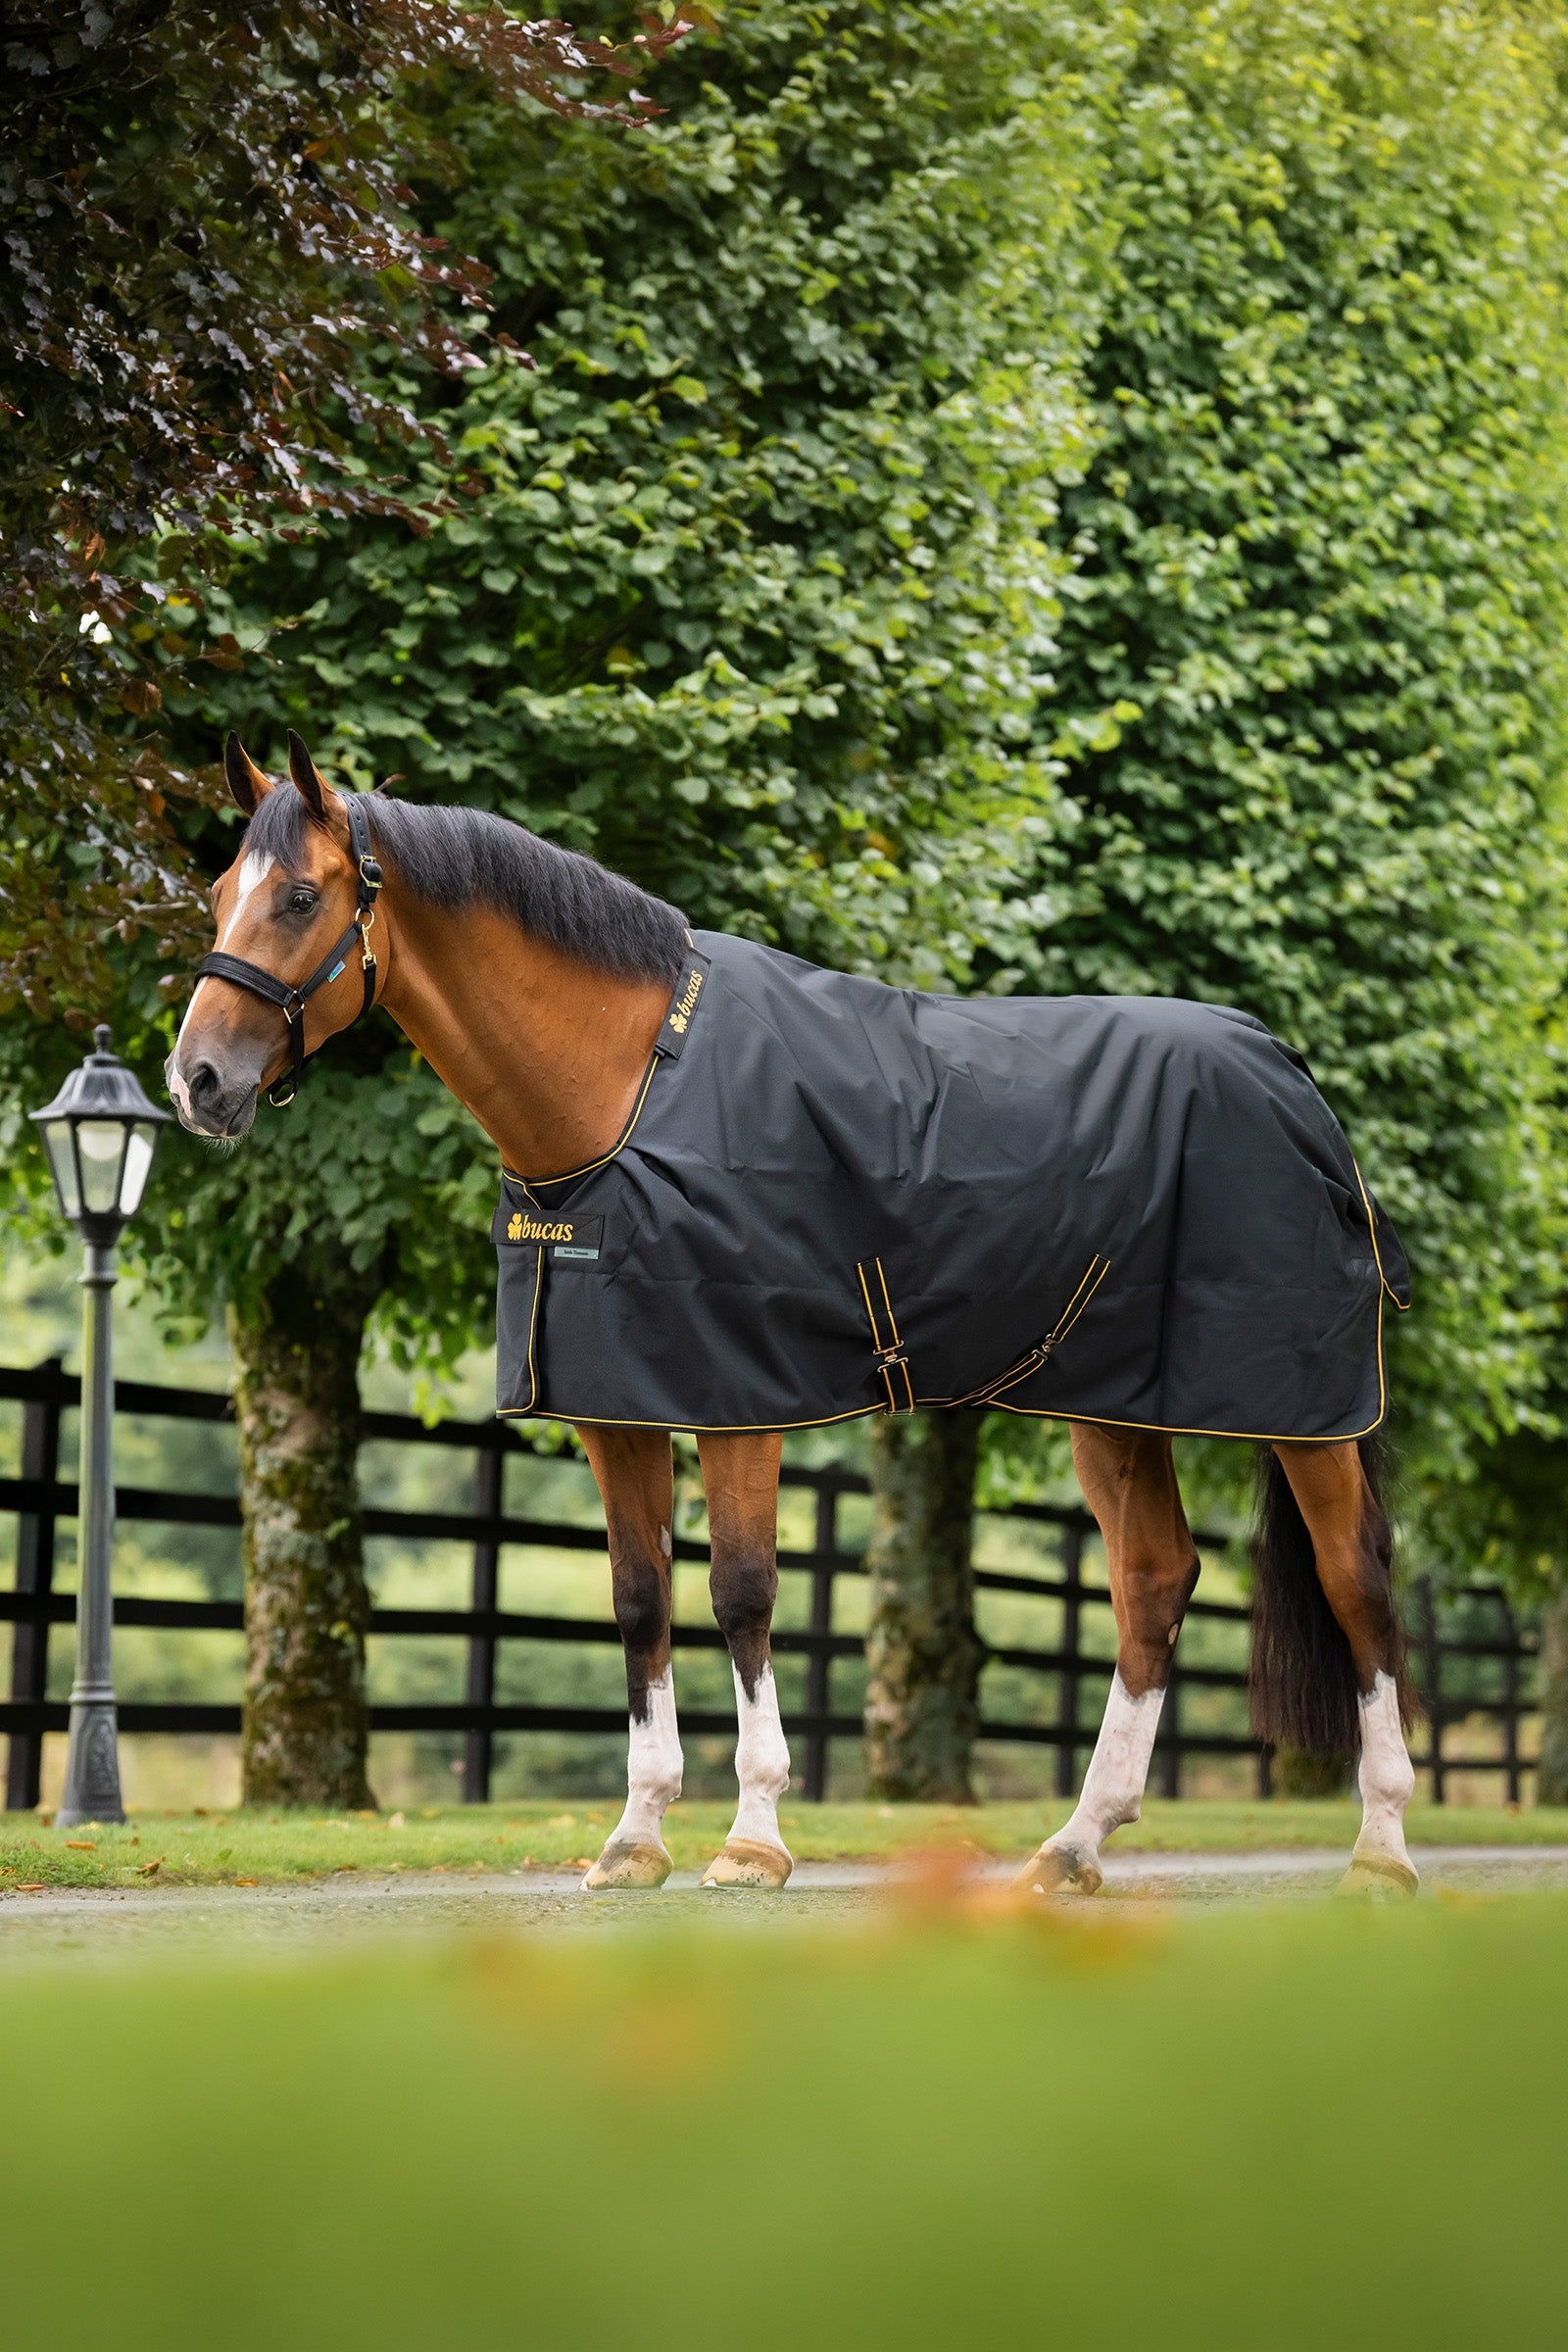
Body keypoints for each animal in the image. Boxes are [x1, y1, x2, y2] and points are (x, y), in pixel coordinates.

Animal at [167, 732, 1420, 1899]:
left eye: (300, 896)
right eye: (219, 893)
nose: (197, 1083)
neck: (632, 1085)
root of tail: (1289, 1079)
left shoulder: (741, 1398)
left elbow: (741, 1594)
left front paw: (753, 1837)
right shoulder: (617, 1408)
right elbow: (639, 1602)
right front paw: (633, 1840)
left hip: (1301, 1409)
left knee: (1355, 1579)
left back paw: (1381, 1851)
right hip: (1111, 1406)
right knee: (1152, 1582)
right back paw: (1074, 1846)